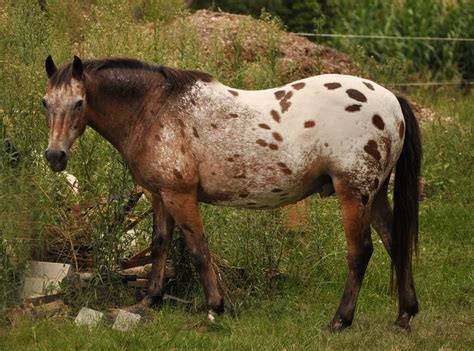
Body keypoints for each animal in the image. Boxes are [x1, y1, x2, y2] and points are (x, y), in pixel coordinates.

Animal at [42, 56, 422, 332]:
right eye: (46, 102)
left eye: (79, 103)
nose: (54, 156)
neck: (155, 109)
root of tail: (391, 99)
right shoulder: (159, 195)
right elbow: (159, 245)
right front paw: (149, 300)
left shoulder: (180, 195)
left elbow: (198, 250)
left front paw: (215, 307)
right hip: (375, 195)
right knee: (395, 243)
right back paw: (404, 316)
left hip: (354, 192)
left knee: (361, 252)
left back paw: (340, 320)